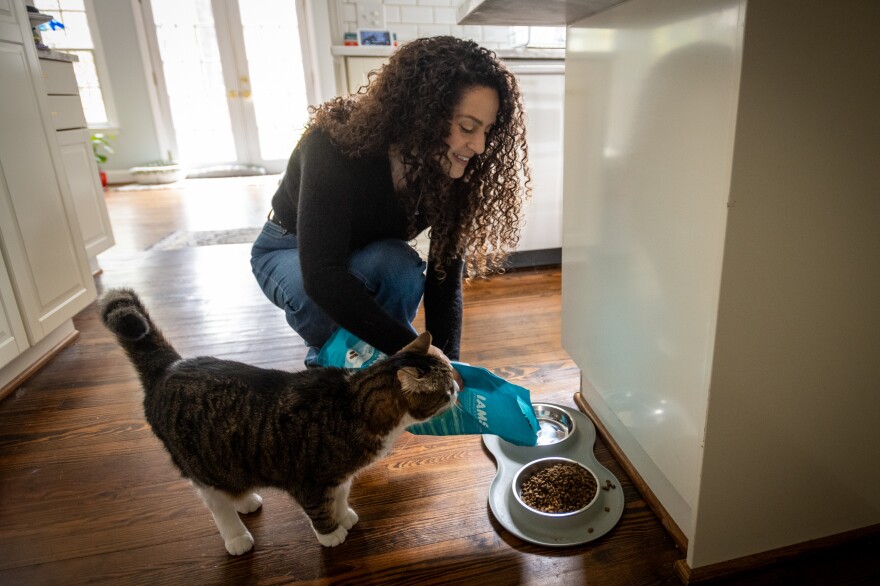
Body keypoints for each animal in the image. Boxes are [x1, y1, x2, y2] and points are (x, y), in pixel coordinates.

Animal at [99, 288, 458, 552]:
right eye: (444, 392)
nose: (457, 388)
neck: (354, 403)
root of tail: (167, 368)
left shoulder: (339, 477)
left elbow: (341, 497)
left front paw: (344, 516)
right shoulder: (309, 480)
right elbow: (319, 509)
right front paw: (331, 534)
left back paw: (245, 500)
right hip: (200, 465)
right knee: (216, 504)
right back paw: (236, 537)